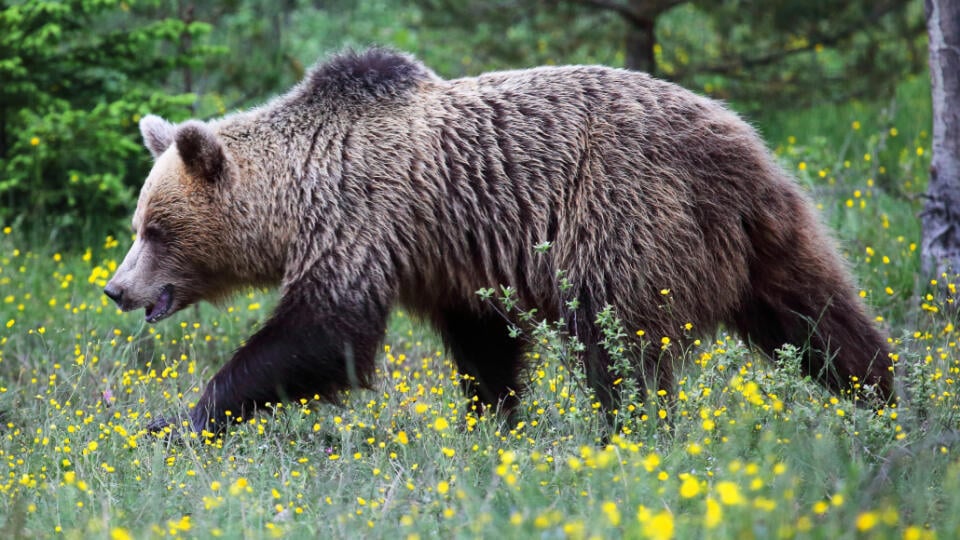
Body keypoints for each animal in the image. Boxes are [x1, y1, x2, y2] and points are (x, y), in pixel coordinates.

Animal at [105, 48, 892, 432]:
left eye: (156, 229)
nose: (117, 288)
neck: (295, 195)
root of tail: (740, 141)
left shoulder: (361, 219)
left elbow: (324, 333)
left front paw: (177, 421)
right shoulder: (451, 256)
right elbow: (486, 348)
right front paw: (491, 424)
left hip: (624, 222)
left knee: (623, 352)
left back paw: (629, 438)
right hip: (774, 235)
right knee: (823, 322)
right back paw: (892, 404)